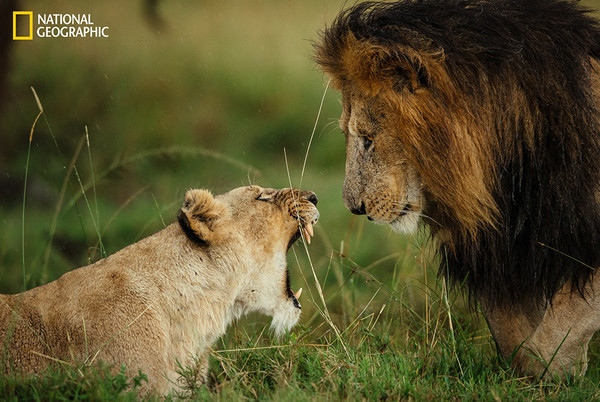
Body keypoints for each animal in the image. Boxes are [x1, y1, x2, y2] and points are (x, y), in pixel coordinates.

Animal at [314, 0, 600, 380]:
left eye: (368, 139)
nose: (354, 207)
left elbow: (561, 326)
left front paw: (558, 371)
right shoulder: (504, 251)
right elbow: (512, 338)